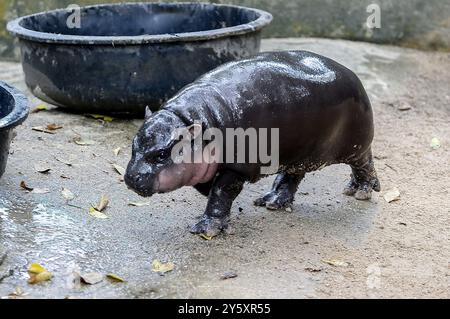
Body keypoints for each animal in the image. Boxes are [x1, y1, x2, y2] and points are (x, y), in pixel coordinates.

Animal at [124, 50, 380, 238]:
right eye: (133, 144)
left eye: (162, 154)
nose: (131, 177)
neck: (193, 119)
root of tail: (353, 75)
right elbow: (208, 188)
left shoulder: (237, 167)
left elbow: (221, 192)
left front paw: (207, 229)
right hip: (299, 152)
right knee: (292, 175)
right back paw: (271, 202)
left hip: (356, 145)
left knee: (364, 164)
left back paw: (360, 192)